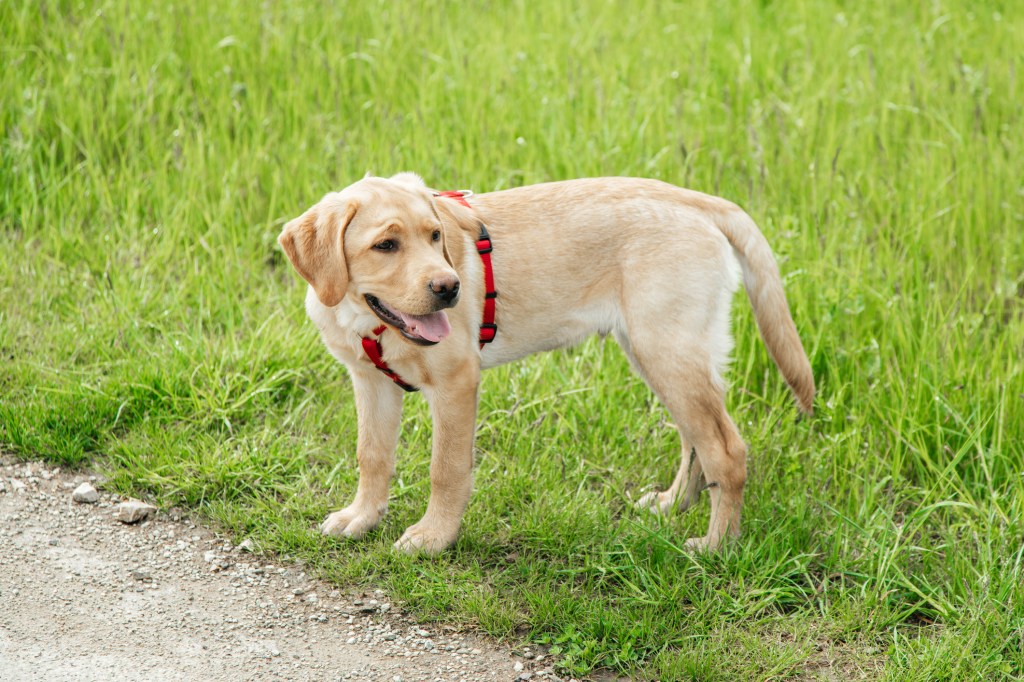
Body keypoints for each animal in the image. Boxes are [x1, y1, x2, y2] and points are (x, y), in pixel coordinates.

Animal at [276, 171, 811, 552]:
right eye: (385, 245)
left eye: (435, 236)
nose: (450, 288)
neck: (366, 319)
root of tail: (695, 200)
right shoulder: (370, 383)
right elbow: (372, 456)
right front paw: (361, 517)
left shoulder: (455, 383)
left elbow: (445, 468)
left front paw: (434, 537)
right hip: (659, 355)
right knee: (695, 440)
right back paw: (672, 504)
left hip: (668, 351)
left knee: (726, 450)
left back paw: (716, 546)